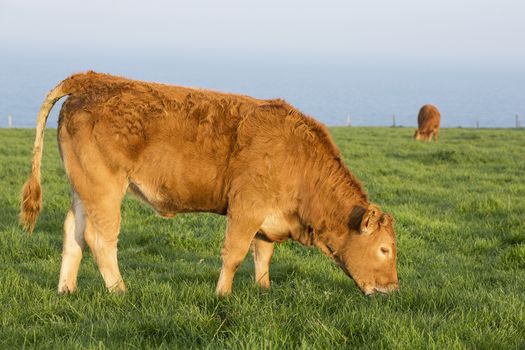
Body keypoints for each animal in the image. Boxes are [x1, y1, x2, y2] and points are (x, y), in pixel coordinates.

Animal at [19, 71, 398, 296]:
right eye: (385, 249)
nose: (393, 288)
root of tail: (92, 79)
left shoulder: (267, 217)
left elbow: (263, 255)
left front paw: (264, 291)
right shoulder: (246, 208)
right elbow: (234, 254)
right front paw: (223, 295)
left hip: (81, 187)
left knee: (73, 233)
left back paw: (66, 290)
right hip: (104, 188)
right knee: (100, 238)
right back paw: (120, 291)